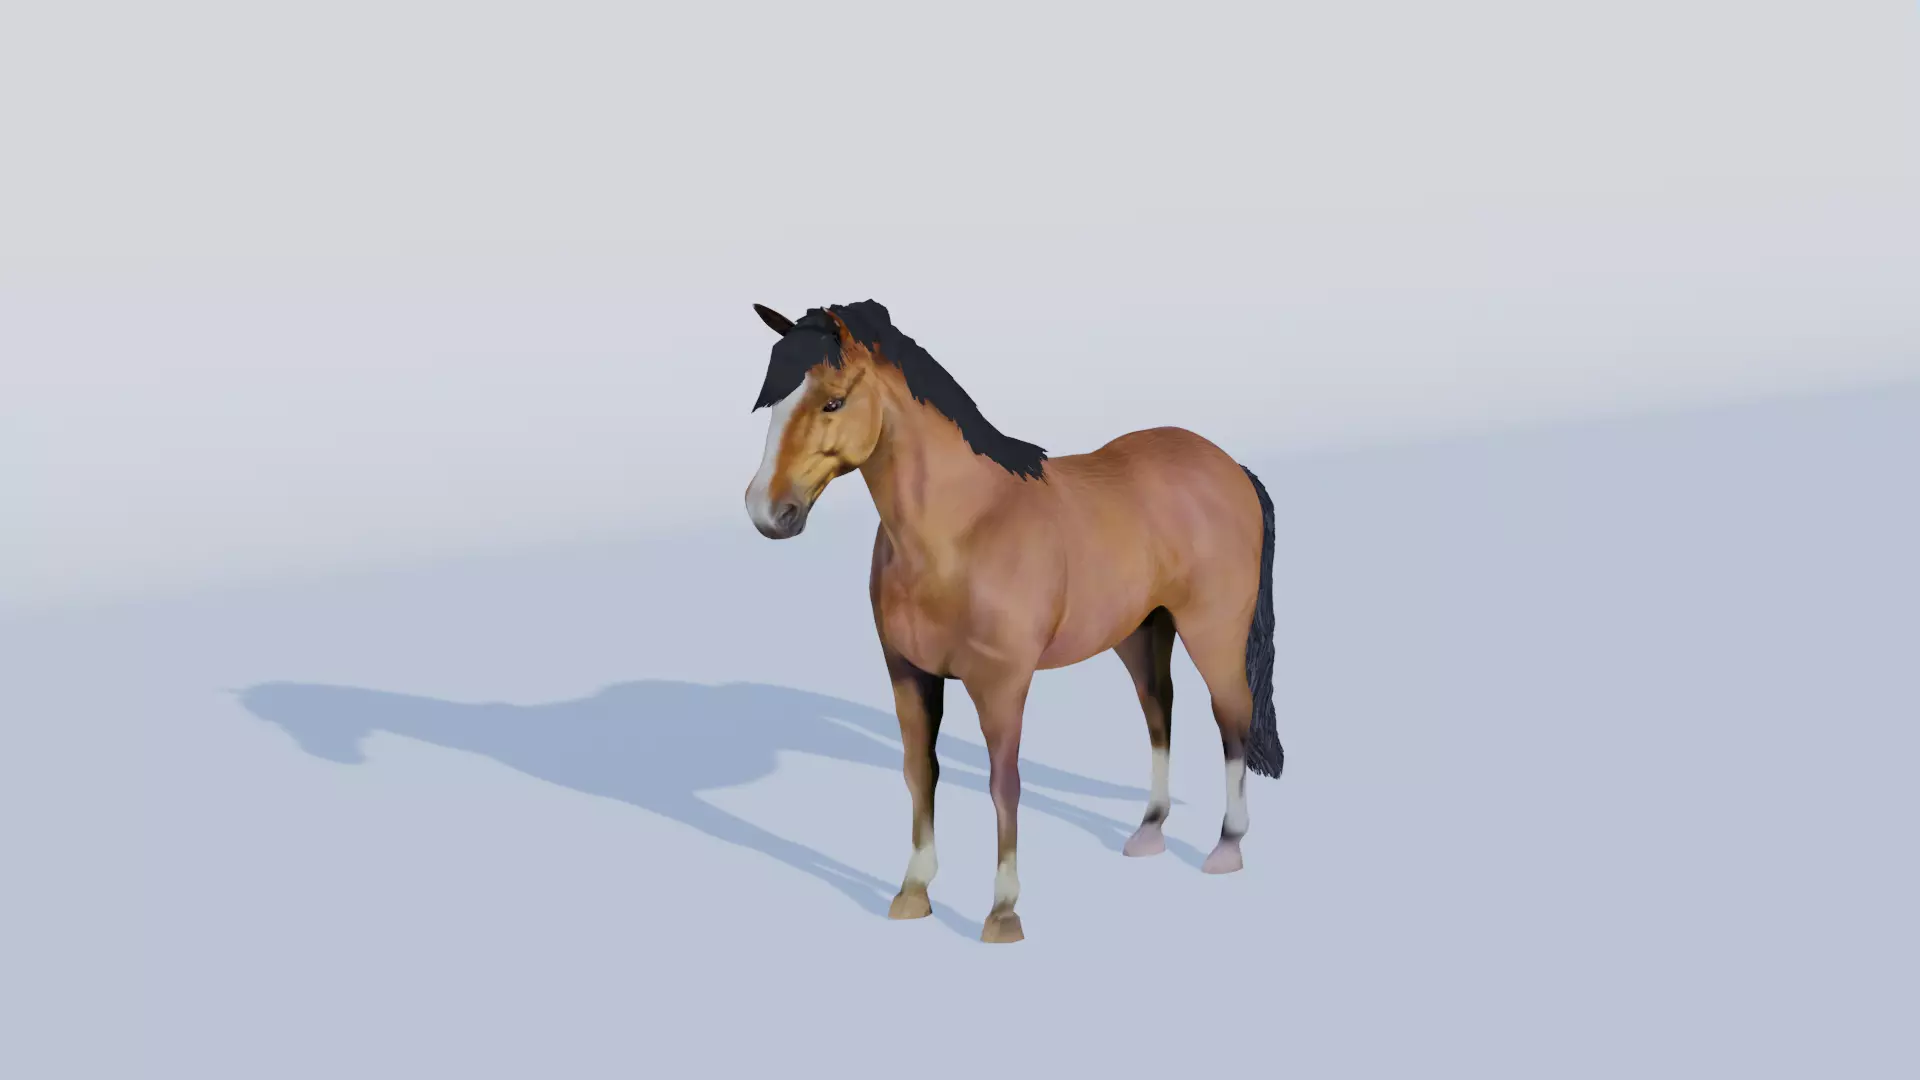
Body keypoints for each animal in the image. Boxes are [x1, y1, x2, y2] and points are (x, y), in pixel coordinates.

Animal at [742, 300, 1282, 943]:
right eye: (771, 401)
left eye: (832, 401)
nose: (766, 511)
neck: (963, 526)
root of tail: (1229, 466)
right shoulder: (908, 674)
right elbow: (919, 772)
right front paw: (913, 893)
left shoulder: (1000, 684)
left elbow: (1004, 784)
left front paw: (1002, 912)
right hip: (1141, 631)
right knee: (1159, 712)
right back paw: (1148, 832)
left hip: (1212, 631)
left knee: (1231, 718)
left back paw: (1227, 846)